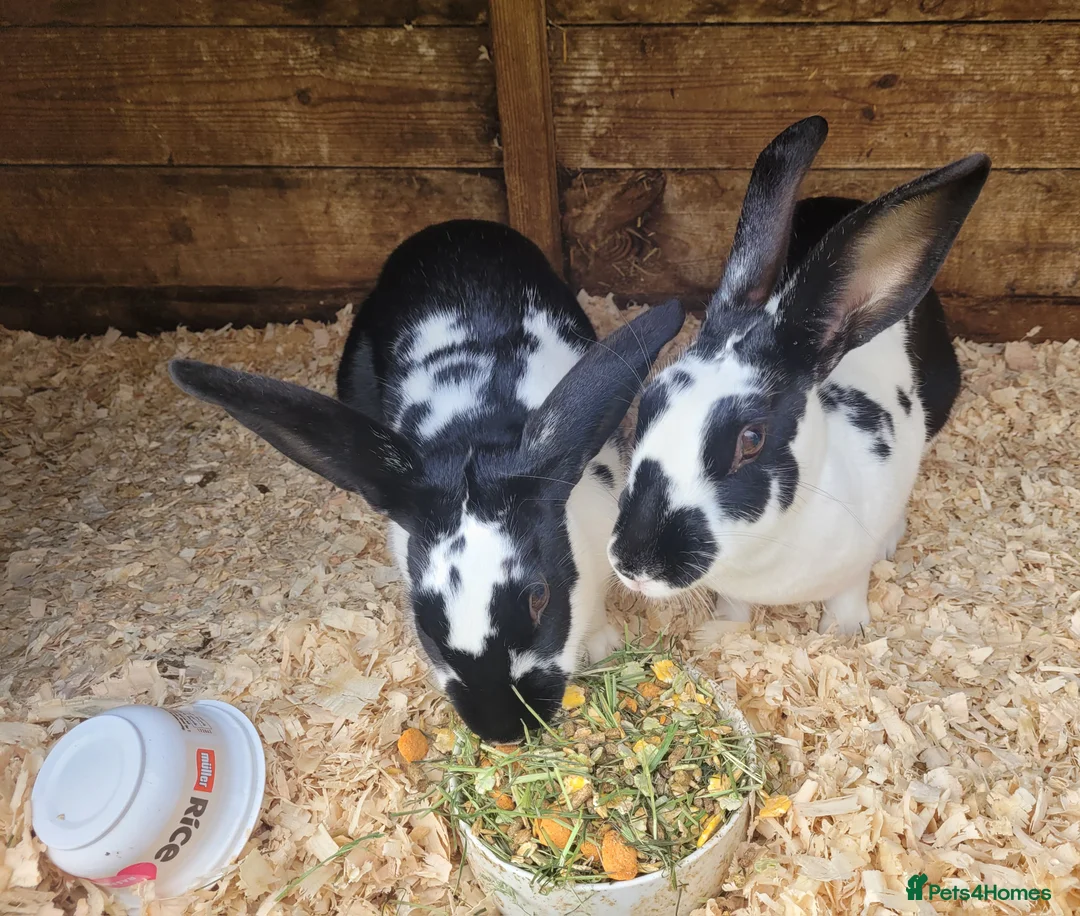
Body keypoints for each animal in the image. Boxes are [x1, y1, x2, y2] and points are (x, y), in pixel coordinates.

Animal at [169, 219, 685, 741]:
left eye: (539, 596)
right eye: (423, 614)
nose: (503, 729)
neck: (478, 434)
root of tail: (453, 228)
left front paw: (601, 644)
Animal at [607, 116, 989, 636]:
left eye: (751, 439)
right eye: (647, 405)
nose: (635, 566)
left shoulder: (852, 569)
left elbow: (848, 596)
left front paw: (845, 633)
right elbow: (735, 606)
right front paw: (722, 631)